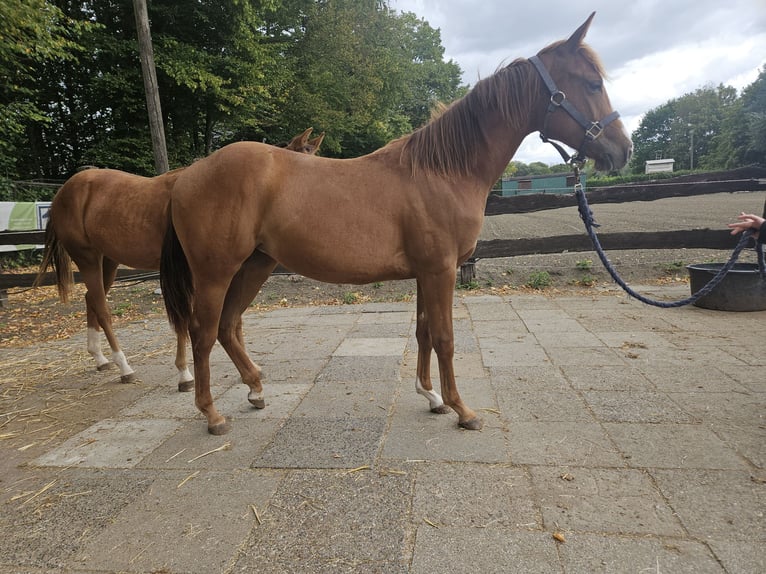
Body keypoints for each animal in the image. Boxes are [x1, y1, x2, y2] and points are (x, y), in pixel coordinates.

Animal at [36, 128, 325, 389]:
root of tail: (64, 191)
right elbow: (189, 319)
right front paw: (186, 374)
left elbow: (234, 318)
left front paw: (248, 367)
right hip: (86, 258)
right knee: (102, 307)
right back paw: (124, 366)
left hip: (107, 260)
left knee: (91, 300)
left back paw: (100, 358)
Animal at [160, 13, 632, 435]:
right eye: (592, 83)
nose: (623, 150)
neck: (443, 170)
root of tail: (186, 176)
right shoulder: (441, 270)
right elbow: (445, 336)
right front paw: (463, 410)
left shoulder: (427, 272)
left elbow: (423, 332)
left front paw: (432, 396)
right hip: (216, 273)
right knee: (202, 333)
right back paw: (212, 415)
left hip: (255, 265)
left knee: (227, 326)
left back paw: (256, 389)